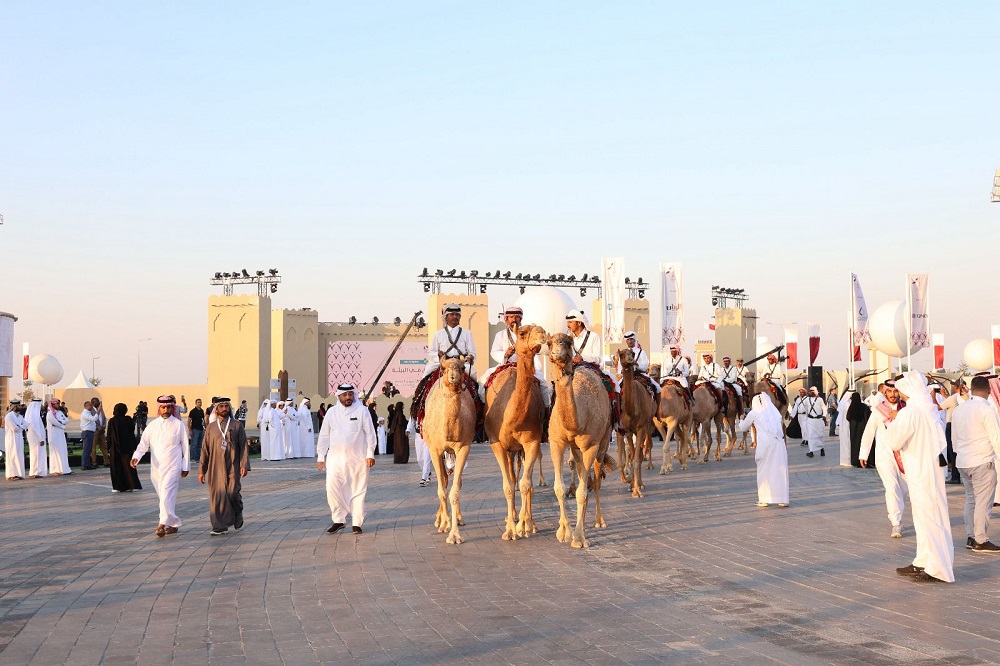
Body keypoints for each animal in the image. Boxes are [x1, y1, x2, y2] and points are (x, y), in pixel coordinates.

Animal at [420, 356, 478, 544]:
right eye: (444, 368)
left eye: (462, 367)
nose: (453, 376)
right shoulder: (435, 449)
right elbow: (441, 490)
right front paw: (444, 524)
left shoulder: (464, 448)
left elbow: (455, 491)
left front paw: (454, 535)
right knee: (444, 480)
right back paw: (440, 520)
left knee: (454, 482)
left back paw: (458, 518)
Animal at [482, 322, 548, 540]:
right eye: (522, 332)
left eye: (540, 328)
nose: (543, 334)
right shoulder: (496, 443)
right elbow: (508, 486)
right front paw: (510, 530)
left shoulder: (532, 442)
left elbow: (526, 484)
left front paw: (524, 527)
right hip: (510, 450)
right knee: (511, 477)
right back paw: (511, 517)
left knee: (526, 481)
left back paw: (529, 523)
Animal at [544, 330, 612, 544]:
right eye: (549, 343)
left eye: (568, 342)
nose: (557, 353)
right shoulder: (556, 443)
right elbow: (559, 488)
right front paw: (564, 531)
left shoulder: (591, 445)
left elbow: (582, 491)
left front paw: (579, 537)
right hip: (575, 448)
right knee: (582, 470)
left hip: (603, 440)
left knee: (596, 478)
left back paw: (599, 520)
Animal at [612, 350, 660, 496]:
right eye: (622, 354)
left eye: (632, 353)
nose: (630, 359)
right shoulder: (627, 431)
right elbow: (633, 457)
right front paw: (631, 486)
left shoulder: (641, 428)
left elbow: (637, 458)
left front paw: (637, 490)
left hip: (648, 424)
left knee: (644, 448)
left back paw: (642, 482)